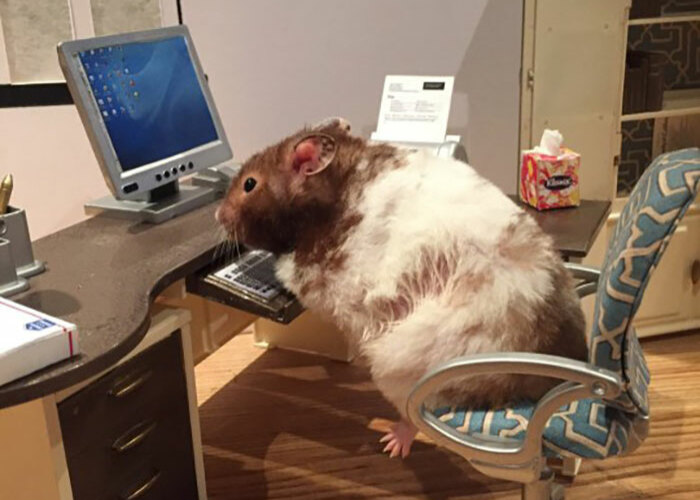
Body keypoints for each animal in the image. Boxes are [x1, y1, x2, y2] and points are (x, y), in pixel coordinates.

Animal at [216, 117, 587, 458]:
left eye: (249, 184)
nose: (218, 215)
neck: (330, 196)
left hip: (405, 366)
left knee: (415, 413)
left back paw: (393, 443)